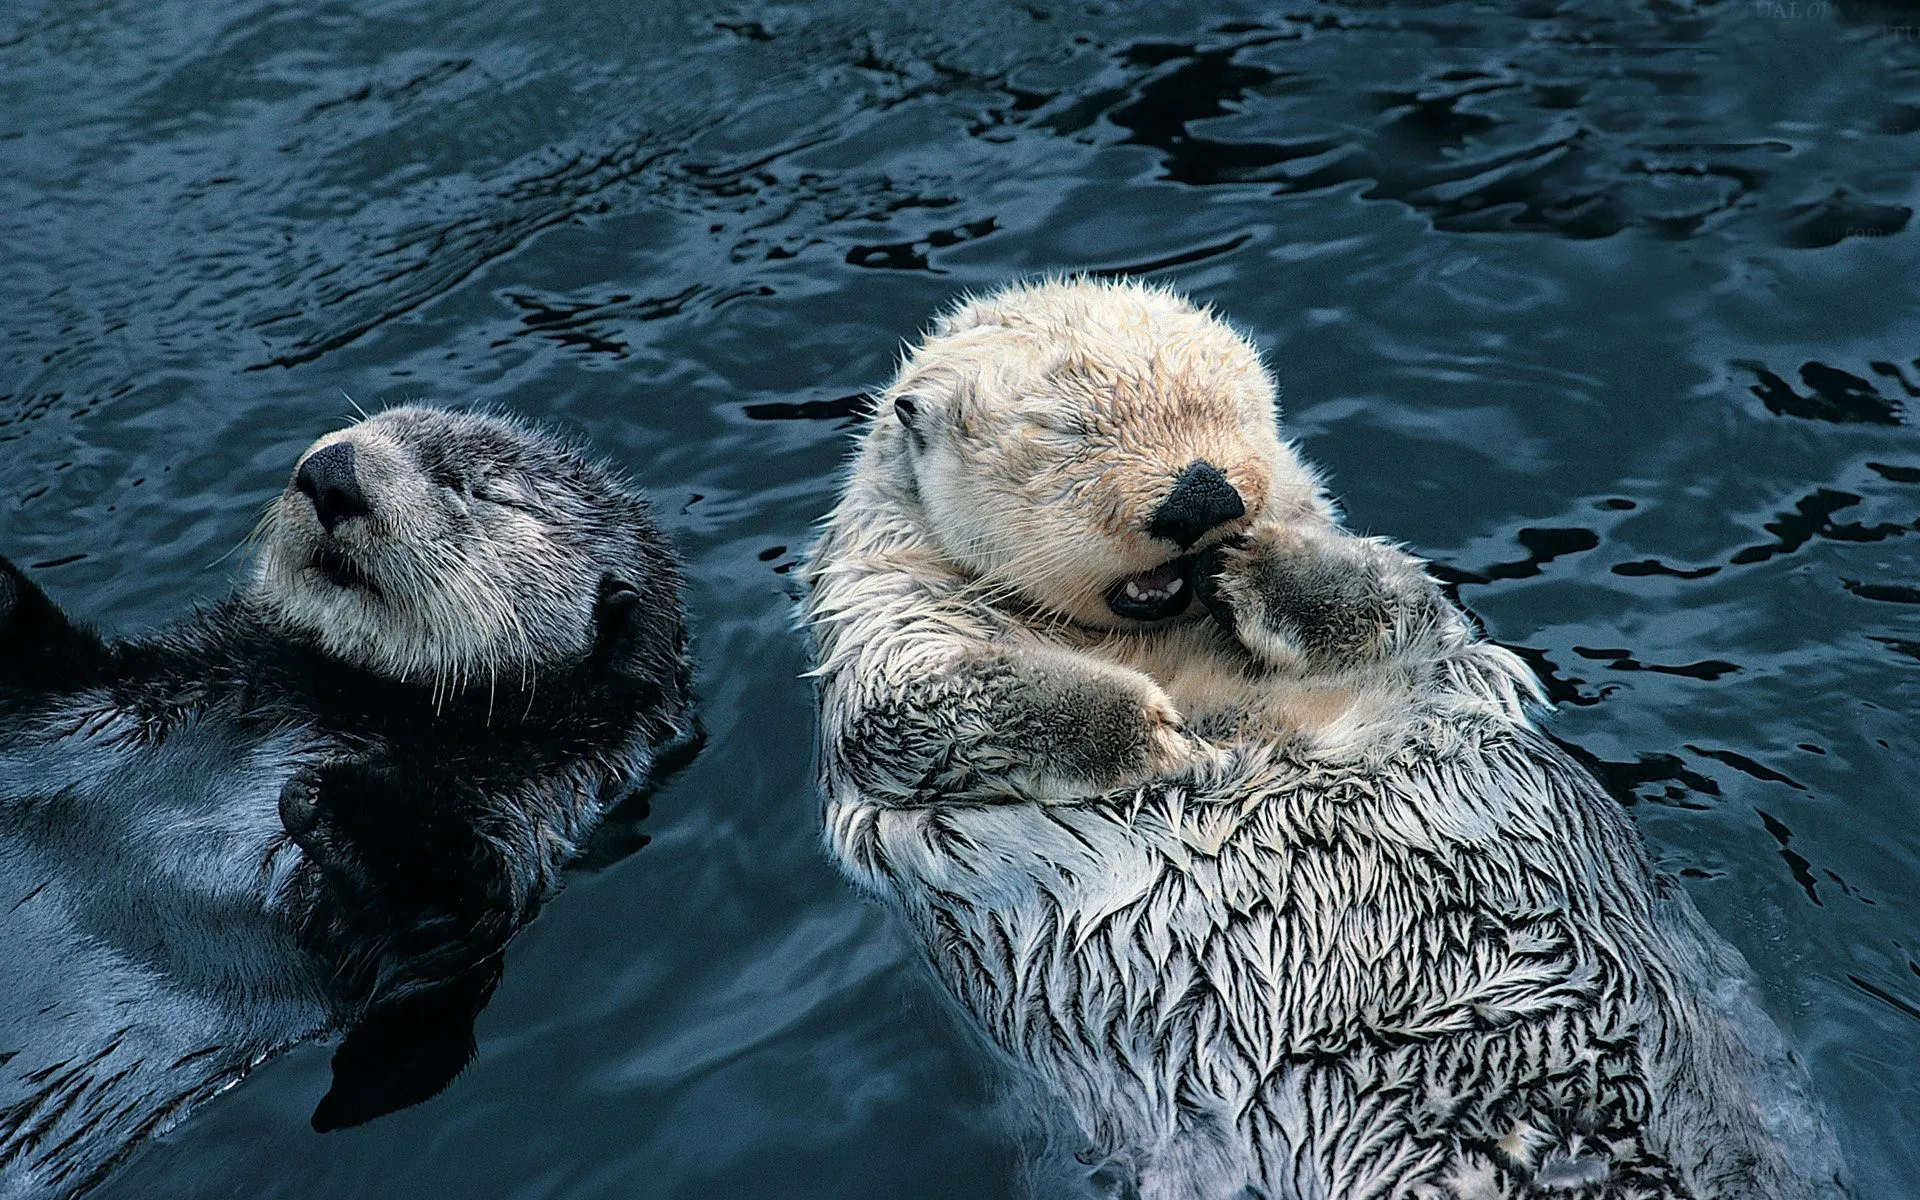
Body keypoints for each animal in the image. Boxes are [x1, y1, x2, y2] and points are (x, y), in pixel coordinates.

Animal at [0, 406, 693, 1199]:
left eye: (477, 488)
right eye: (370, 423)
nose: (331, 471)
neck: (349, 700)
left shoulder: (525, 821)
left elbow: (446, 912)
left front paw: (338, 795)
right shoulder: (111, 689)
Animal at [804, 279, 1849, 1199]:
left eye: (1230, 408)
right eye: (1068, 433)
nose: (1203, 497)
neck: (1160, 641)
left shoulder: (1415, 630)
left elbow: (1395, 600)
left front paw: (1258, 566)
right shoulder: (884, 628)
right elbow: (914, 711)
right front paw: (1159, 735)